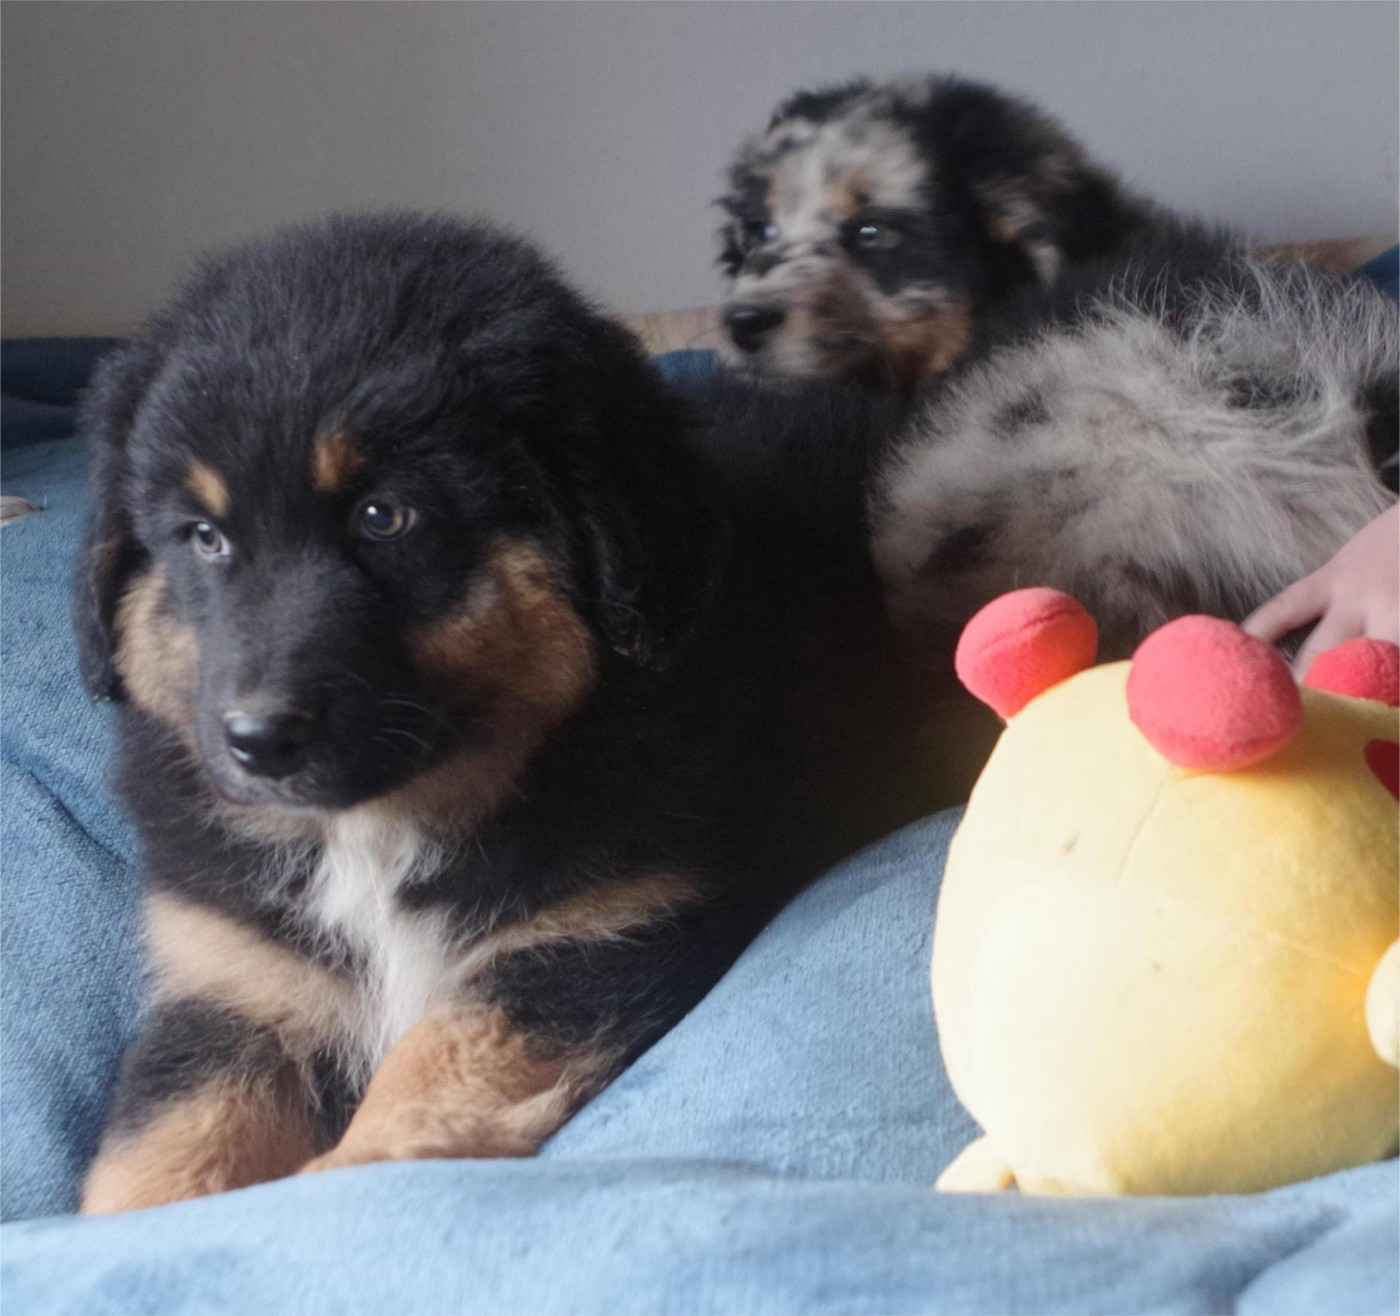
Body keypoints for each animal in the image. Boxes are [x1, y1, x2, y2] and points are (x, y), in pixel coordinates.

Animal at [73, 213, 928, 1213]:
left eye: (385, 517)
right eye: (205, 537)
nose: (258, 741)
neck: (380, 829)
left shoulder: (596, 931)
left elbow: (441, 1060)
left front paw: (342, 1179)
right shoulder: (235, 979)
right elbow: (163, 1144)